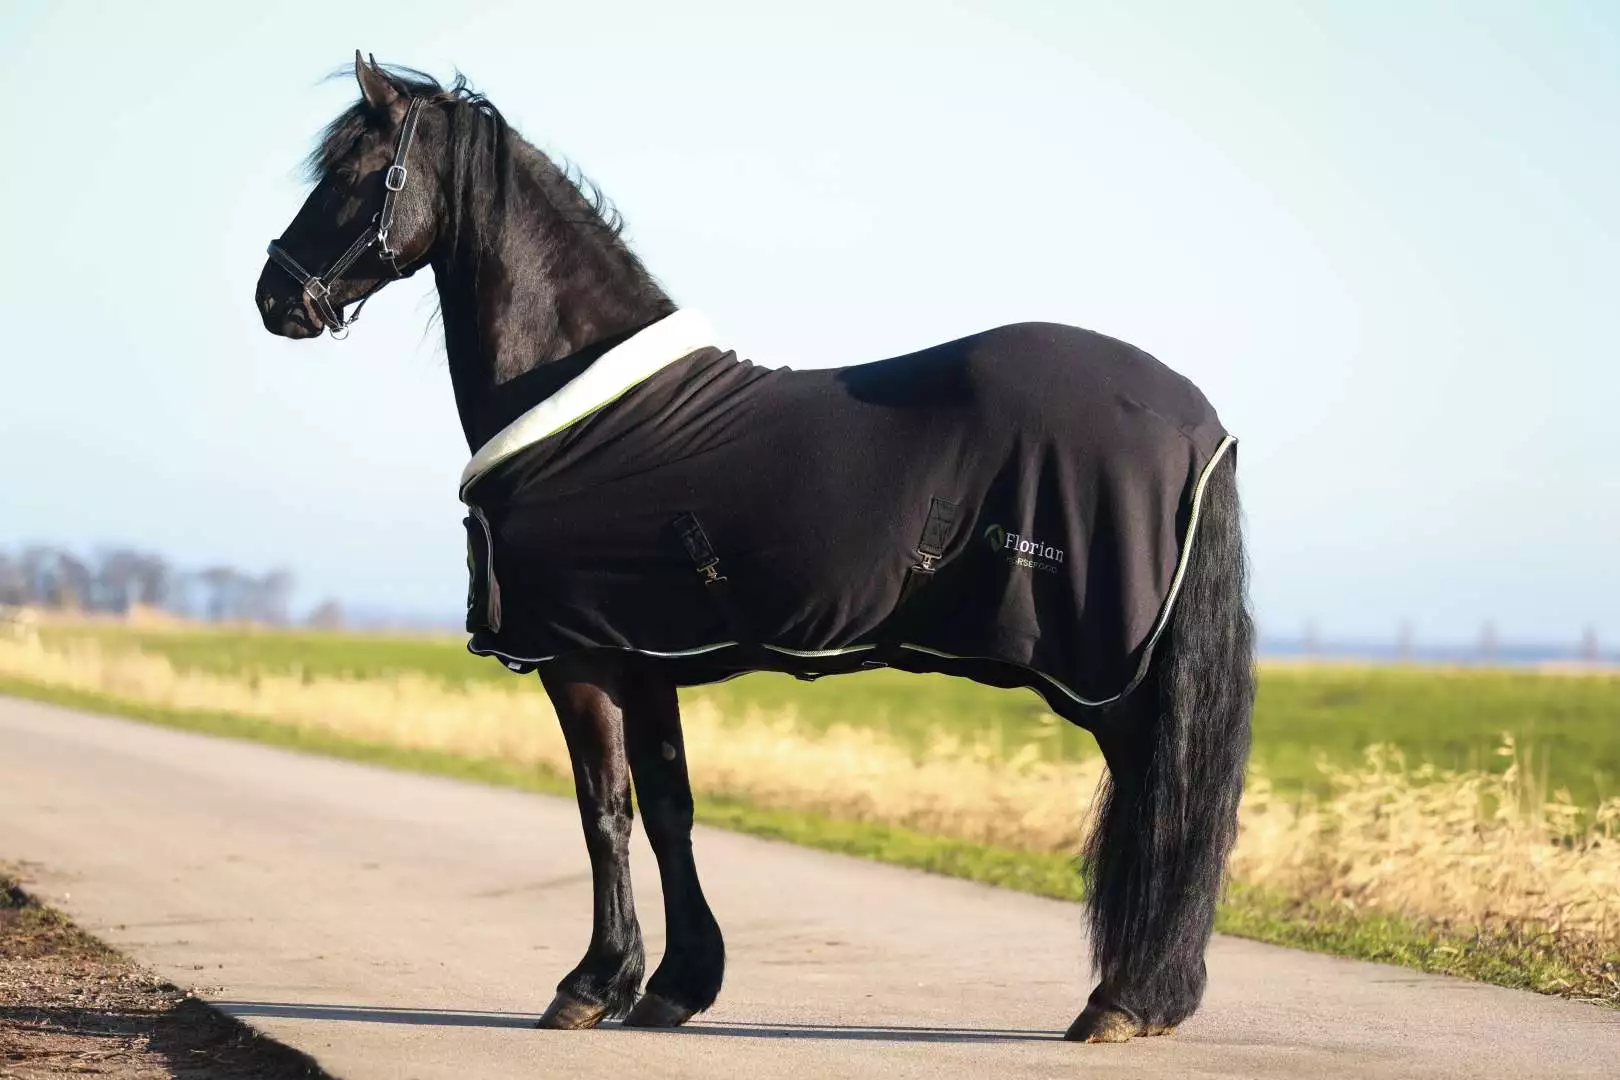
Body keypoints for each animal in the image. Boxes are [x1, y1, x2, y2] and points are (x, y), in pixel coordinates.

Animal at [254, 54, 1254, 1043]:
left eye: (352, 173)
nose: (275, 299)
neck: (582, 406)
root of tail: (1197, 420)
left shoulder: (577, 657)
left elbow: (601, 811)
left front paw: (590, 986)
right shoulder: (643, 656)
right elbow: (668, 810)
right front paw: (673, 984)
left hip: (1105, 676)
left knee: (1161, 800)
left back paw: (1124, 1000)